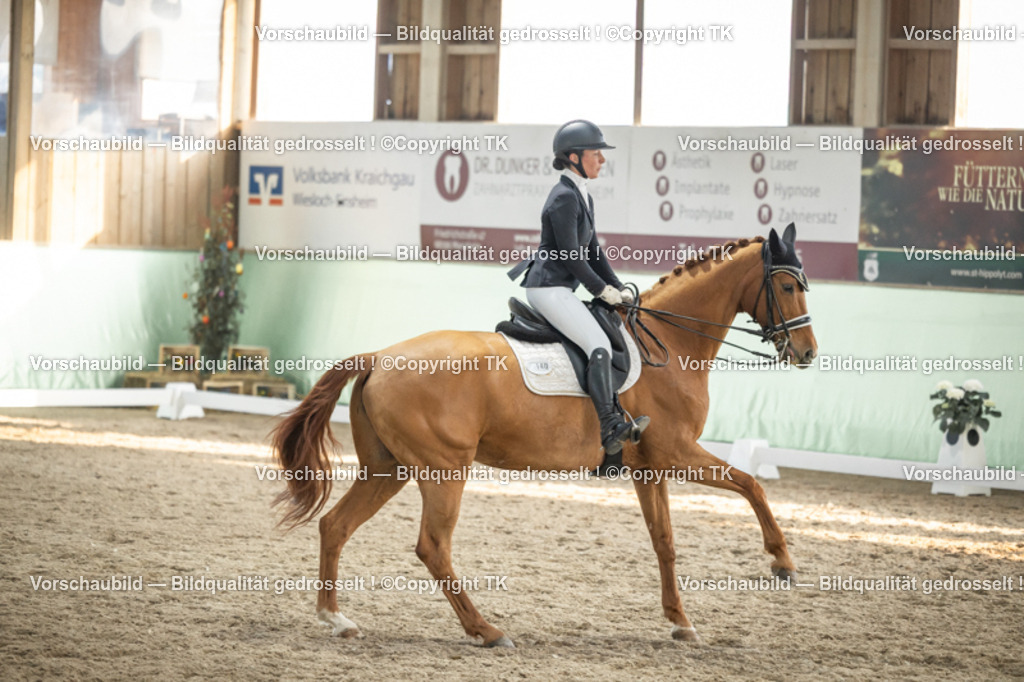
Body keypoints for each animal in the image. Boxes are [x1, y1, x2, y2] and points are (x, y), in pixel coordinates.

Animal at [271, 225, 818, 647]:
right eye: (787, 286)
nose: (808, 352)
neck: (671, 343)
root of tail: (380, 356)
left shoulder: (650, 467)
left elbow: (665, 541)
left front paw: (681, 623)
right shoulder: (678, 452)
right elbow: (752, 483)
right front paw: (782, 562)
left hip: (390, 467)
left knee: (335, 525)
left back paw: (337, 618)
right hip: (443, 469)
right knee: (432, 546)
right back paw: (487, 631)